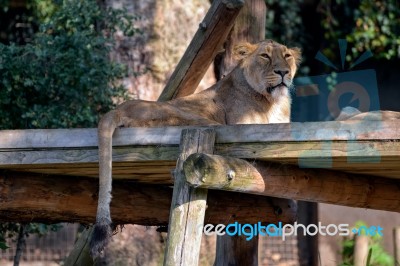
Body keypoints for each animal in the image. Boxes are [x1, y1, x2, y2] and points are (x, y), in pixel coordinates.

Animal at [90, 39, 300, 256]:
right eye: (265, 56)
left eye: (287, 56)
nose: (283, 72)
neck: (274, 102)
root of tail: (119, 109)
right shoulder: (244, 124)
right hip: (196, 119)